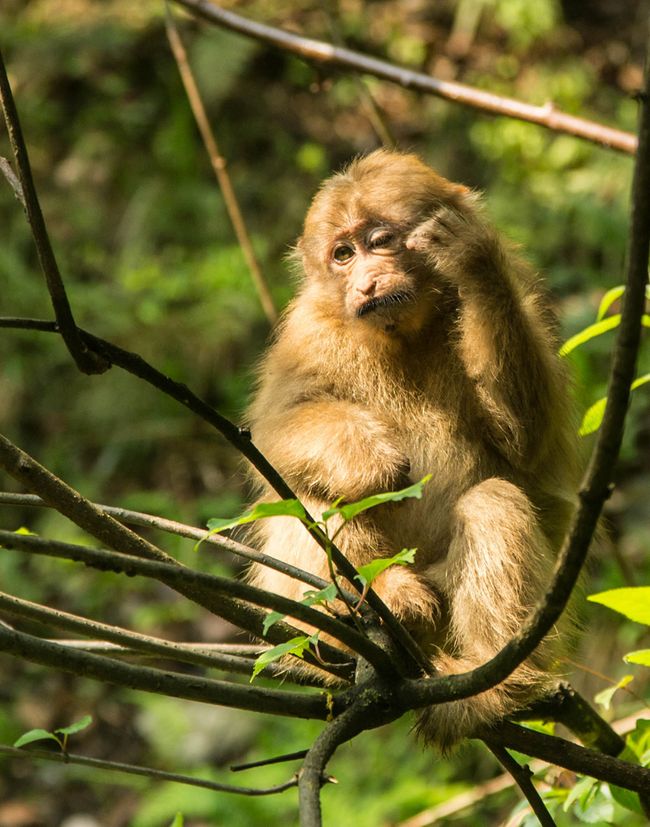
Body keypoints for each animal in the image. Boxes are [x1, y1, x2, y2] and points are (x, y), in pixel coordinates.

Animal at [243, 149, 576, 752]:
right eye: (343, 255)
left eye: (380, 241)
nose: (366, 281)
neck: (406, 333)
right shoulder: (308, 330)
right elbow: (273, 438)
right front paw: (368, 458)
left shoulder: (527, 291)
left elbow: (527, 446)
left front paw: (471, 258)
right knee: (308, 490)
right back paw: (374, 596)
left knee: (492, 501)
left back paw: (493, 684)